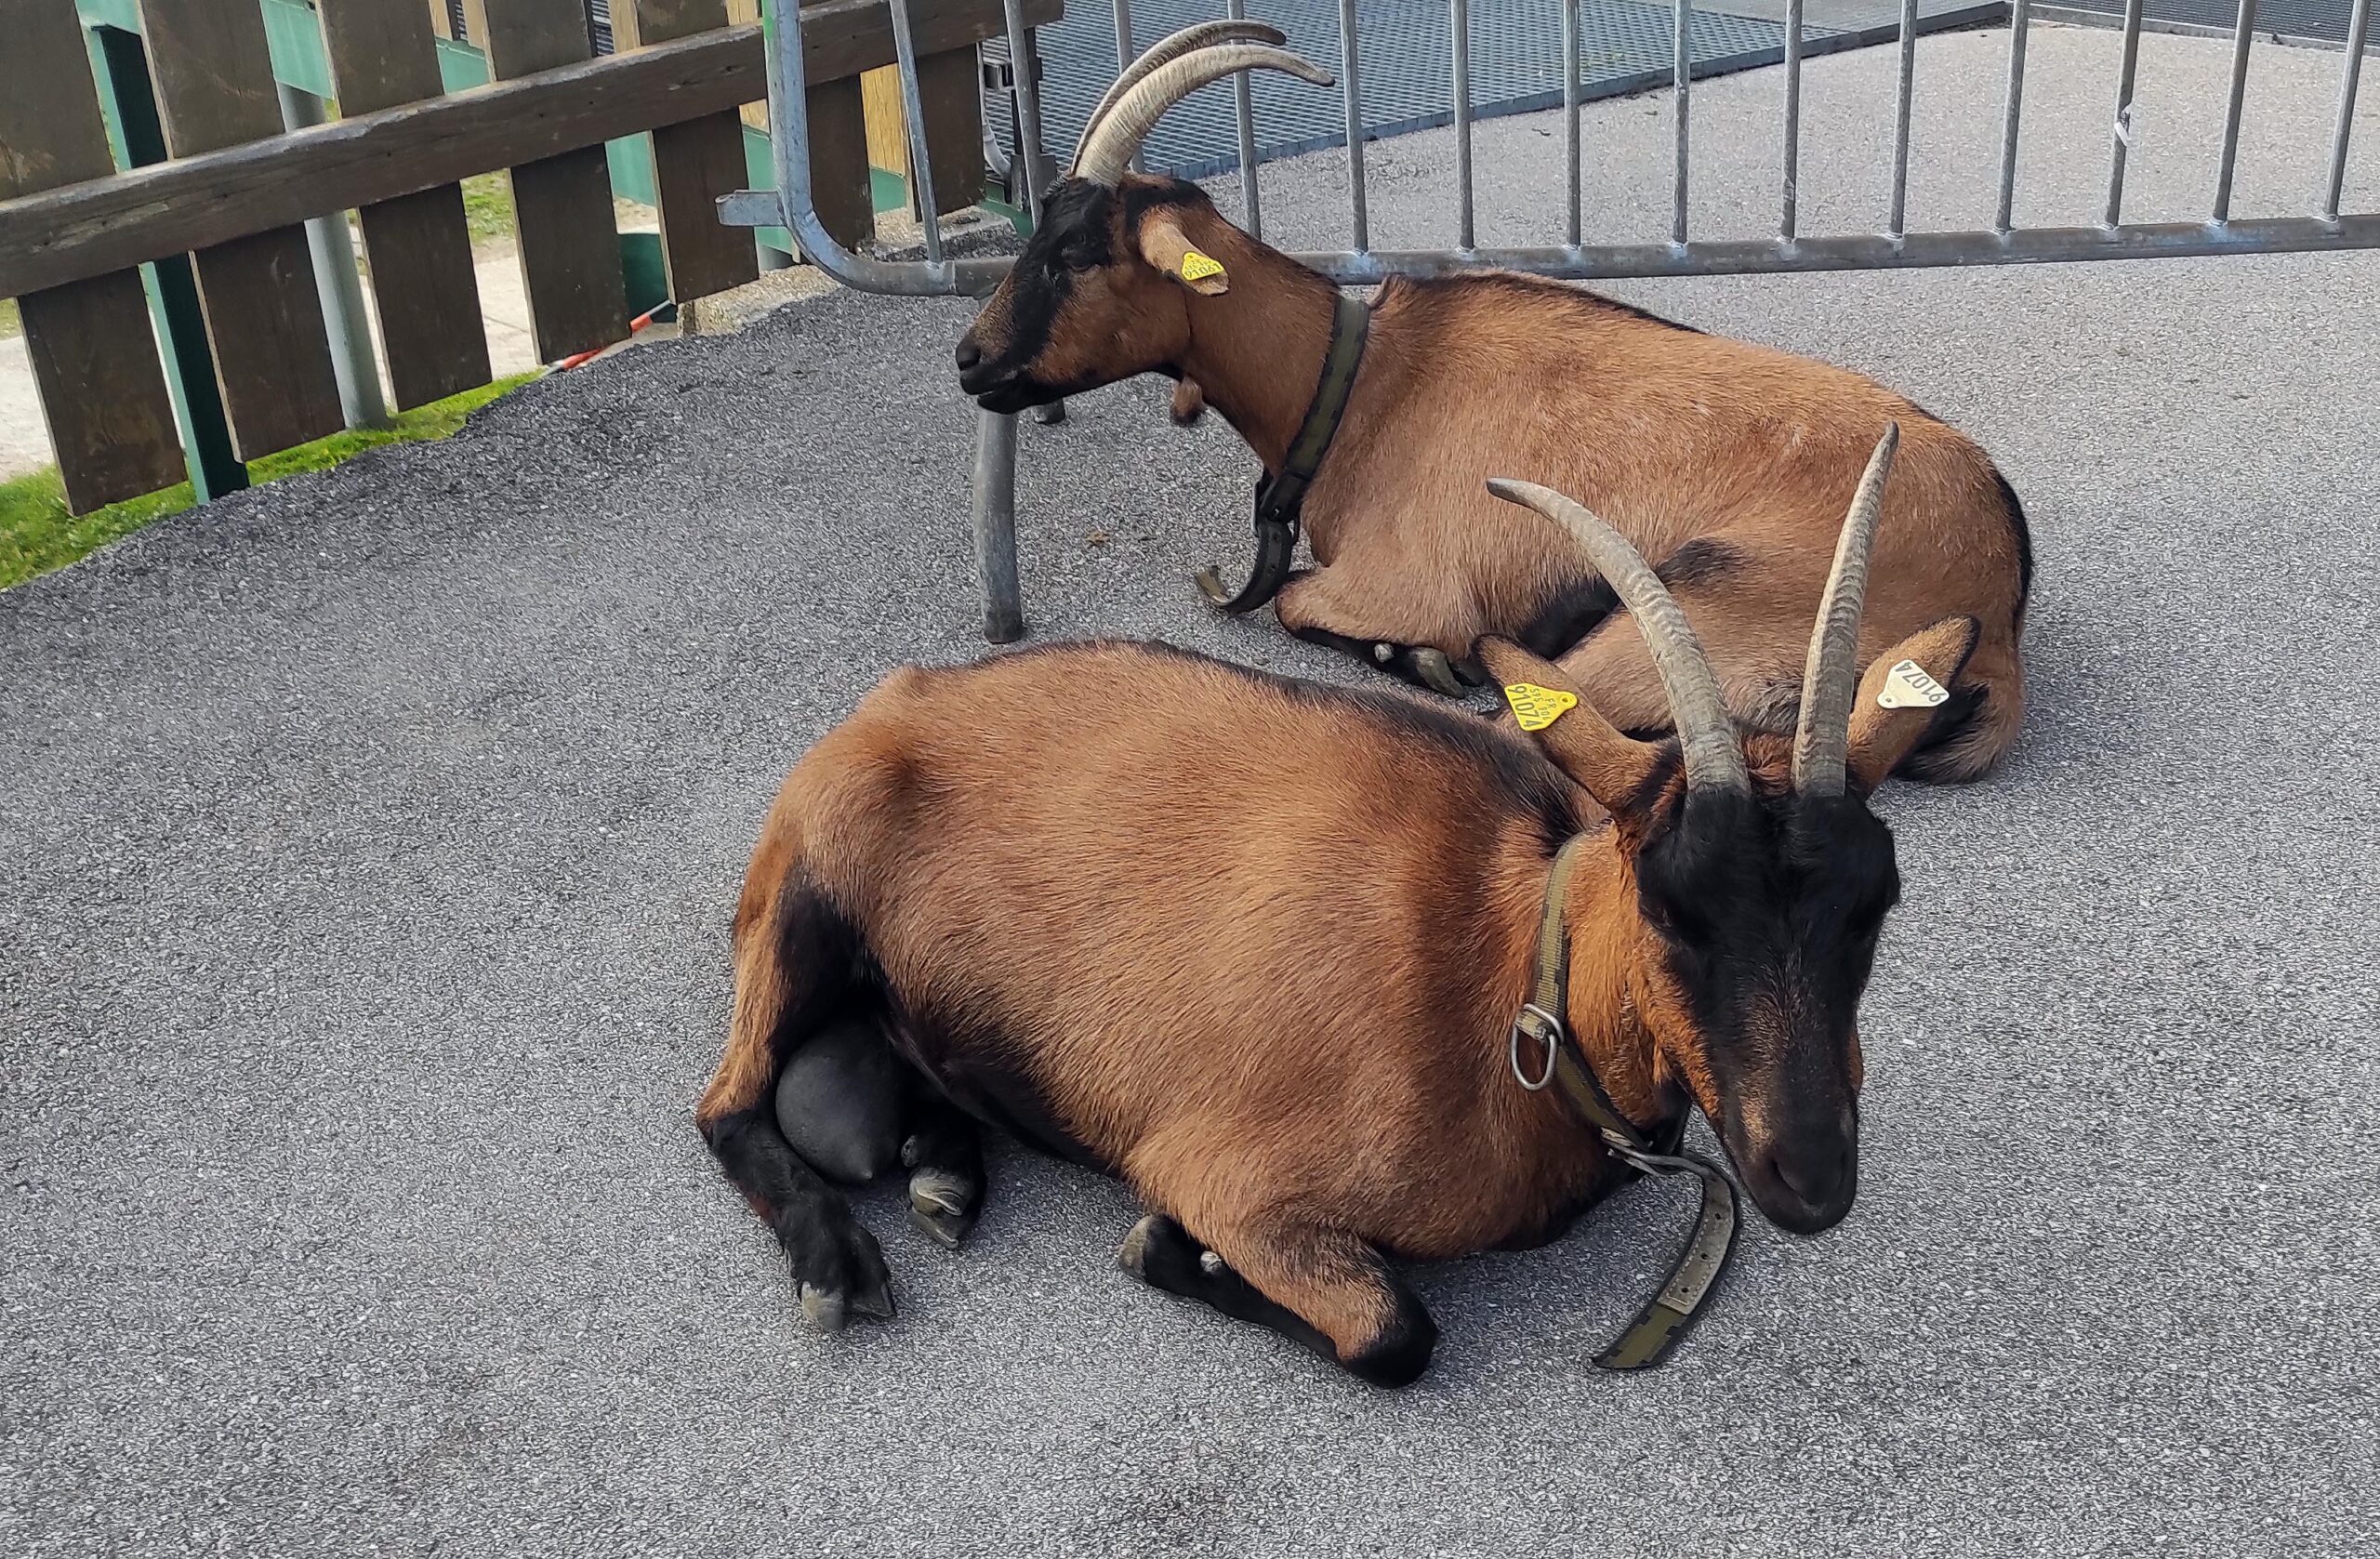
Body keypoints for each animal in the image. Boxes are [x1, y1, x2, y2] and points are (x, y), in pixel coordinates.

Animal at [696, 430, 1971, 1382]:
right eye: (1670, 905)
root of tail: (892, 702)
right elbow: (1390, 1332)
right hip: (806, 889)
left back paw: (944, 1169)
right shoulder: (1230, 1174)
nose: (1810, 1178)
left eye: (1879, 899)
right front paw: (1170, 1253)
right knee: (724, 1104)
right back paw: (837, 1261)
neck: (1518, 983)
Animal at [953, 27, 2030, 784]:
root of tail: (1999, 609)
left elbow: (1299, 600)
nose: (970, 362)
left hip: (1693, 610)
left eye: (1075, 253)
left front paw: (1416, 654)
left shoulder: (1410, 582)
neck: (1359, 384)